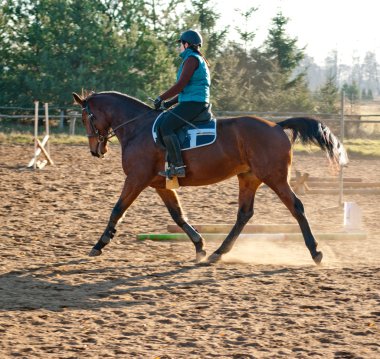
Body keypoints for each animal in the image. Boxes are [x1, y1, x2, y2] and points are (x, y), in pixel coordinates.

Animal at [71, 92, 348, 268]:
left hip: (275, 177)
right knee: (244, 214)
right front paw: (199, 246)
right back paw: (217, 253)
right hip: (249, 178)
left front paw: (99, 244)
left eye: (86, 117)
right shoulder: (160, 184)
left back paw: (315, 252)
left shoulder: (136, 179)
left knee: (296, 207)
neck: (137, 128)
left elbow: (117, 209)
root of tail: (277, 126)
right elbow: (178, 216)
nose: (96, 150)